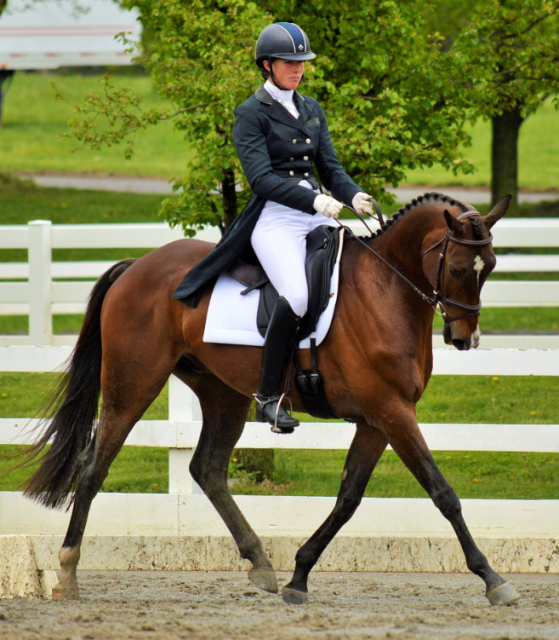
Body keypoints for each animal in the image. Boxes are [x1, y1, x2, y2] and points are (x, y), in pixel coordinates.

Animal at [23, 190, 520, 604]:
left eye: (492, 266)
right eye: (457, 269)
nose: (465, 339)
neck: (386, 289)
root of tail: (138, 266)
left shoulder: (378, 419)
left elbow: (348, 498)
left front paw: (299, 576)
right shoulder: (392, 412)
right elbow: (442, 492)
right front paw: (492, 579)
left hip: (222, 393)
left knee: (207, 470)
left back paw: (260, 563)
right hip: (133, 383)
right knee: (94, 466)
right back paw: (68, 573)